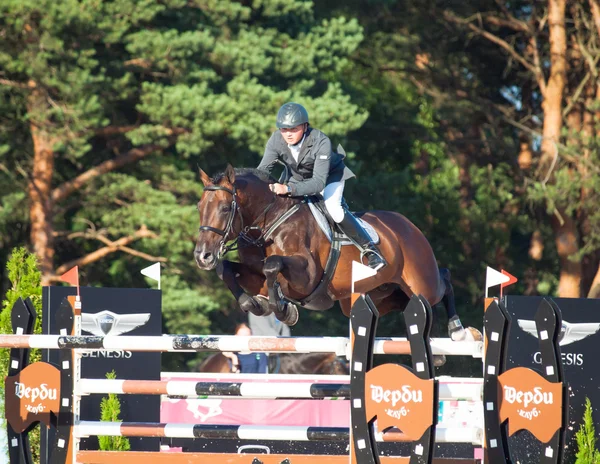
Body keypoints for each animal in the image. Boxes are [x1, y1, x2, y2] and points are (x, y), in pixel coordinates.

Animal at [195, 165, 480, 350]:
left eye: (224, 208)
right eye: (199, 207)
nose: (202, 256)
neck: (270, 221)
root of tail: (409, 226)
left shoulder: (306, 277)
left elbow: (272, 265)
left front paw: (284, 310)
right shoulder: (255, 274)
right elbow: (227, 270)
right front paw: (255, 303)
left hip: (421, 282)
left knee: (444, 281)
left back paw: (460, 332)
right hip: (380, 293)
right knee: (409, 304)